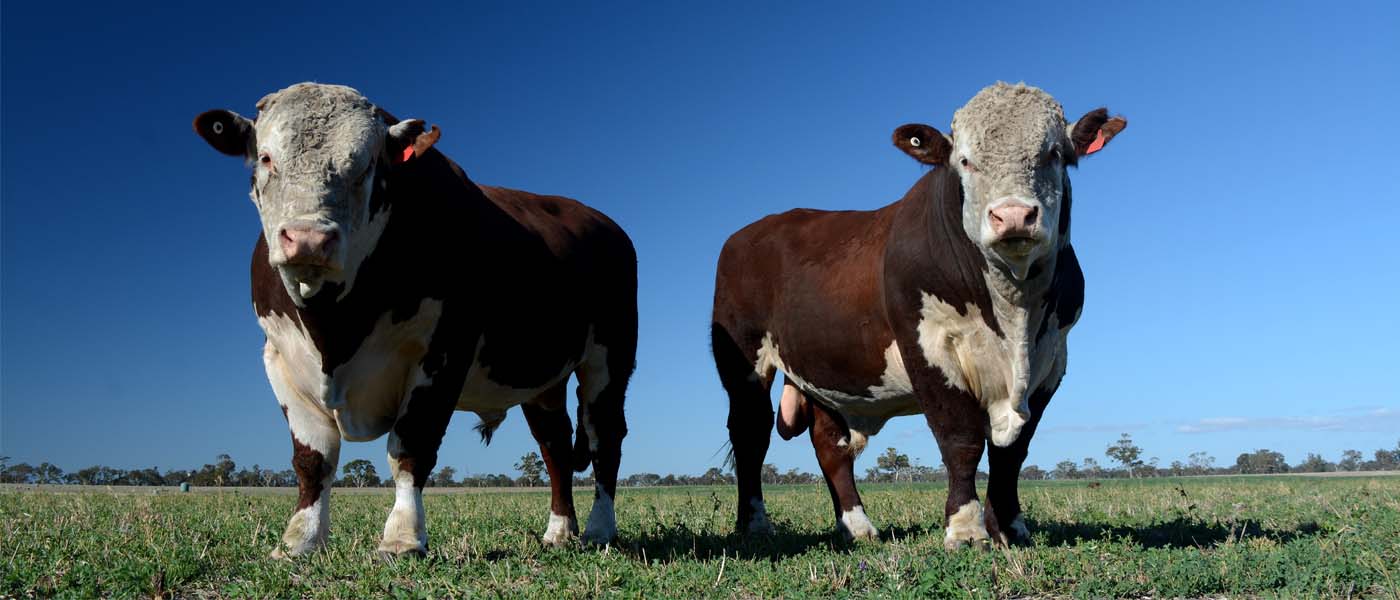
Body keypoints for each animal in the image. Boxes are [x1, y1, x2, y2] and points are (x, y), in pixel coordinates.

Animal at [194, 82, 638, 556]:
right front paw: (300, 540)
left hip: (610, 358)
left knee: (604, 437)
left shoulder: (443, 351)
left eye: (366, 166)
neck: (334, 329)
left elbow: (410, 446)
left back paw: (598, 528)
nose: (308, 239)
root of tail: (599, 220)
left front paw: (402, 537)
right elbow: (313, 459)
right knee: (555, 444)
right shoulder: (279, 358)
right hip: (542, 380)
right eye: (266, 157)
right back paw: (559, 530)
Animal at [711, 82, 1125, 548]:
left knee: (830, 445)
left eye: (1055, 154)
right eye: (964, 160)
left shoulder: (1052, 357)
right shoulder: (928, 347)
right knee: (750, 433)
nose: (1013, 216)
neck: (1013, 309)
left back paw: (856, 526)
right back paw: (755, 524)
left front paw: (1010, 527)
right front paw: (965, 529)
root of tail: (747, 233)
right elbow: (961, 440)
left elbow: (1013, 452)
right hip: (744, 361)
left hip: (824, 371)